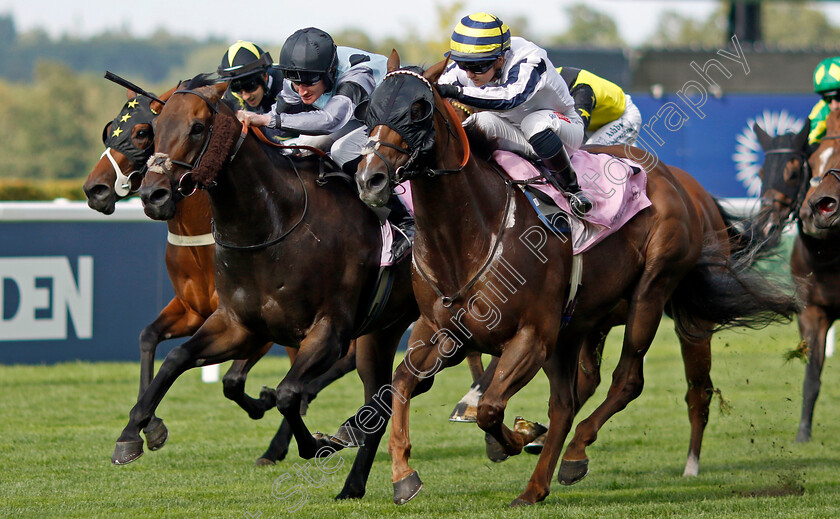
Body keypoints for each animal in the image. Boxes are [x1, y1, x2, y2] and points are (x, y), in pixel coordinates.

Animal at [86, 88, 358, 464]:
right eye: (109, 129)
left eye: (141, 132)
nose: (94, 189)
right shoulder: (194, 309)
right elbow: (149, 337)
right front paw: (151, 426)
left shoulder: (257, 324)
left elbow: (233, 381)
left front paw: (263, 402)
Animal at [116, 76, 418, 500]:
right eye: (154, 130)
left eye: (197, 127)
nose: (152, 195)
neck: (274, 224)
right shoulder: (237, 324)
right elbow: (177, 359)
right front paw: (133, 432)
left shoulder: (329, 331)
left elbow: (289, 393)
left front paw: (316, 443)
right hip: (383, 328)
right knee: (382, 396)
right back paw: (353, 484)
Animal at [356, 54, 800, 506]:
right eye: (370, 109)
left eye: (418, 109)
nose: (370, 178)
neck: (471, 235)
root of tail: (679, 183)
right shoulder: (440, 330)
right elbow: (401, 383)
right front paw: (403, 475)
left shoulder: (534, 335)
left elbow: (492, 408)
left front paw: (512, 438)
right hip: (583, 324)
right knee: (570, 399)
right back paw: (536, 485)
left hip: (654, 294)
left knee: (635, 382)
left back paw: (579, 457)